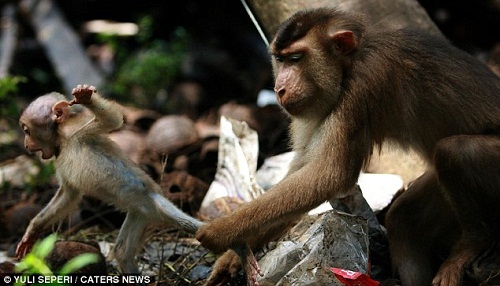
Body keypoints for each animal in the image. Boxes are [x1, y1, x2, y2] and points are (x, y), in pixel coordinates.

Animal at [17, 84, 260, 284]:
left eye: (27, 130)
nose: (26, 144)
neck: (63, 141)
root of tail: (152, 208)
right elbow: (69, 194)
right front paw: (33, 230)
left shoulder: (82, 130)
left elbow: (112, 121)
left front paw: (86, 98)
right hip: (139, 213)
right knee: (122, 251)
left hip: (153, 201)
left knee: (197, 228)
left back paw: (239, 247)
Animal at [196, 7, 500, 286]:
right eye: (280, 60)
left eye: (296, 59)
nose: (279, 89)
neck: (349, 64)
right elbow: (303, 172)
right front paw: (234, 255)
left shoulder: (363, 83)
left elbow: (329, 174)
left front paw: (219, 232)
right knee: (403, 217)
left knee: (455, 152)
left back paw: (472, 242)